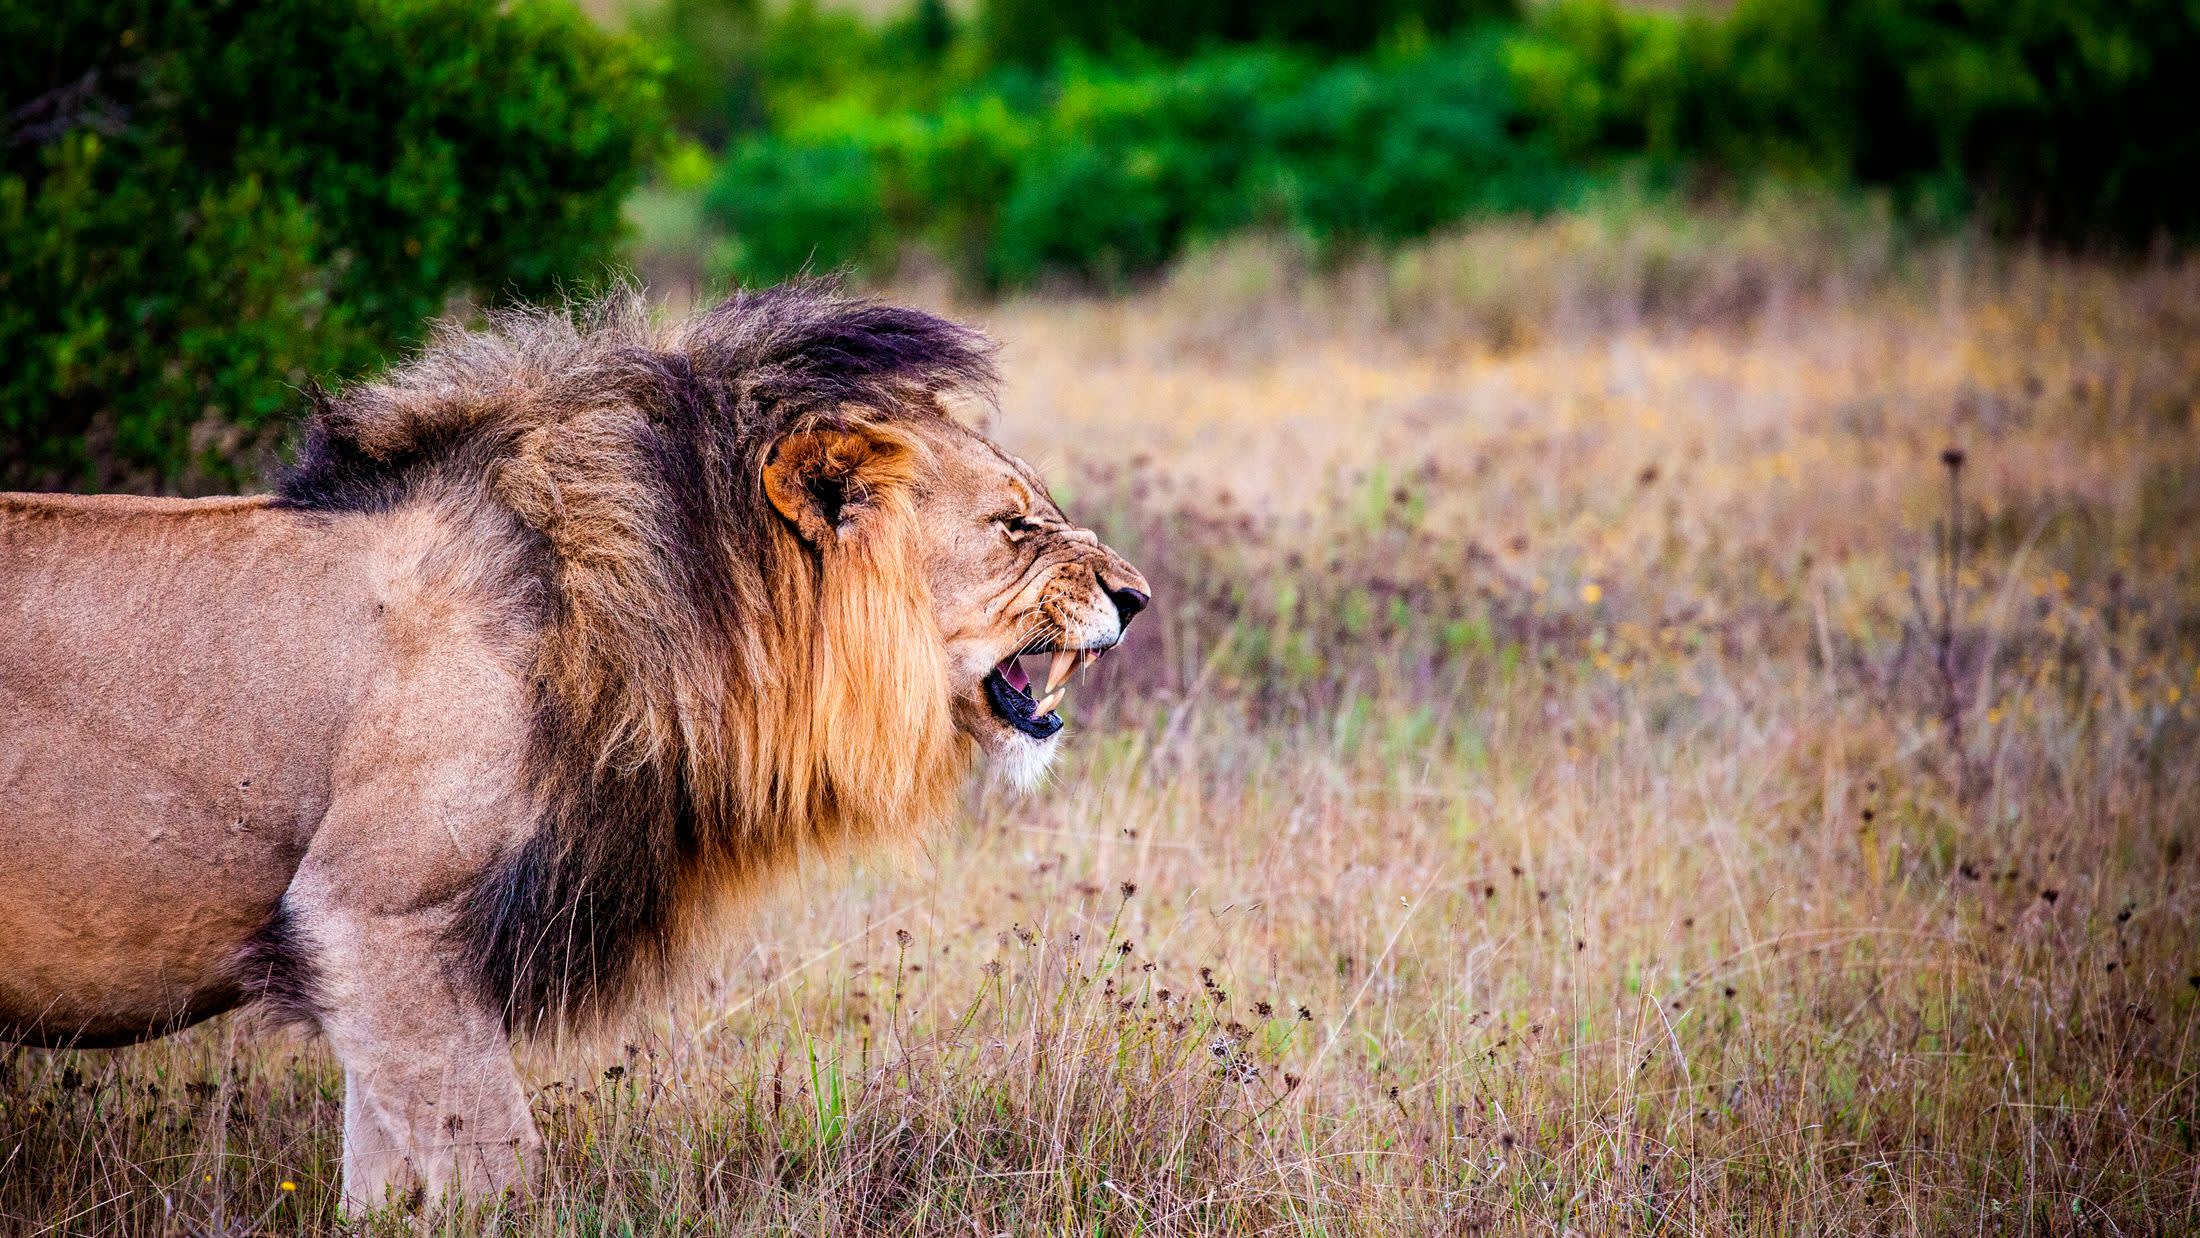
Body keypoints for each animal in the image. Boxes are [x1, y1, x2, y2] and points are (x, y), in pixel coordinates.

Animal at [0, 282, 1149, 1208]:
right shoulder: (371, 916)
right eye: (1014, 525)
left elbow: (388, 1182)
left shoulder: (380, 961)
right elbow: (494, 1167)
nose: (1136, 596)